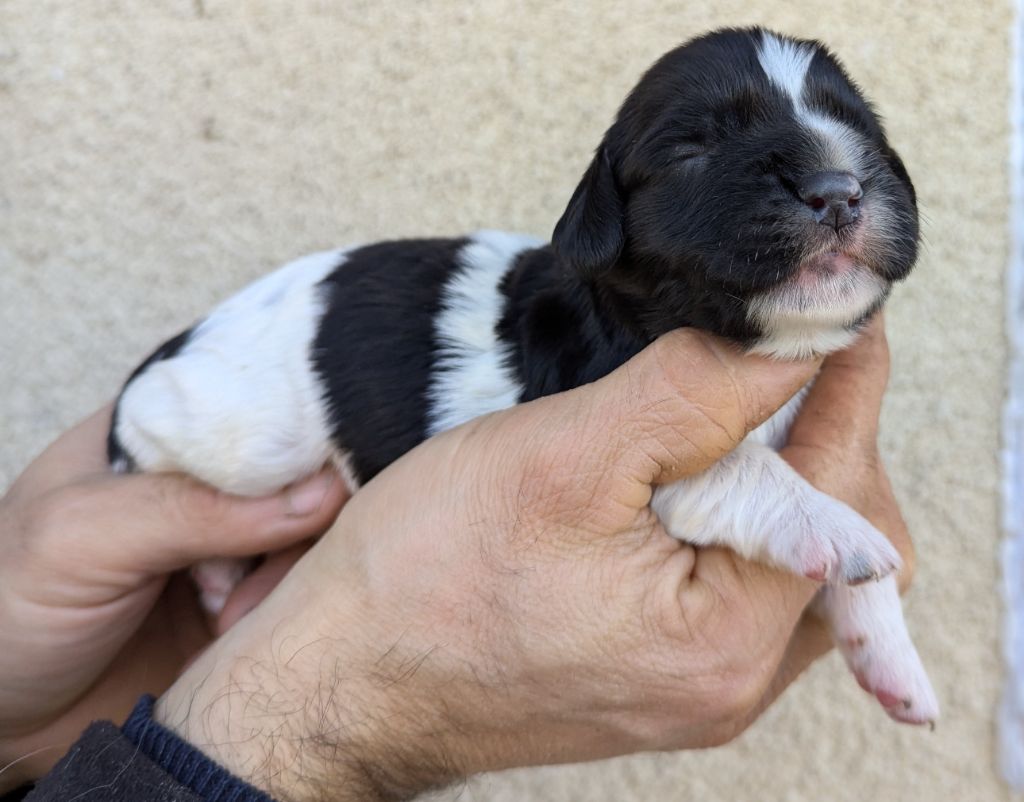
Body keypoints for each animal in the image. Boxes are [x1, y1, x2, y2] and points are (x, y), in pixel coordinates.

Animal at [110, 25, 937, 729]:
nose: (837, 188)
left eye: (860, 131)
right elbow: (743, 470)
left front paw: (893, 661)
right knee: (156, 429)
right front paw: (837, 529)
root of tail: (192, 333)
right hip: (247, 437)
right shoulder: (617, 429)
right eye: (693, 150)